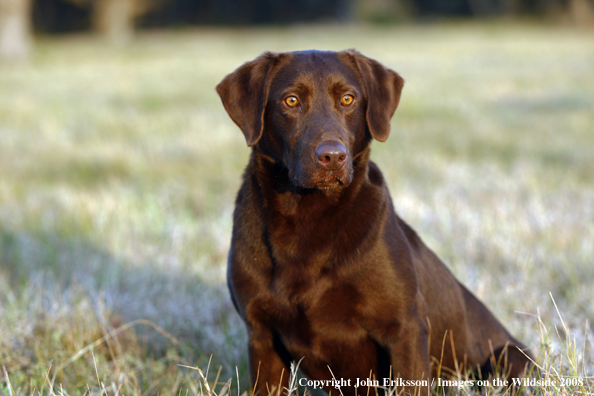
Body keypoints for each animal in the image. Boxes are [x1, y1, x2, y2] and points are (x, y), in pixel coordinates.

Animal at [215, 50, 528, 396]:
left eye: (348, 99)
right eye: (291, 100)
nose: (332, 157)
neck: (306, 218)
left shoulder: (404, 328)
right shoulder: (262, 336)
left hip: (510, 358)